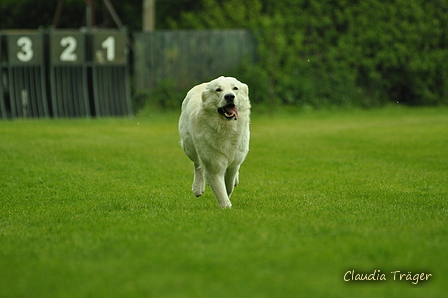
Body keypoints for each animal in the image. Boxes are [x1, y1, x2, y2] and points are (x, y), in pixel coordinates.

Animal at [179, 75, 250, 208]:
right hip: (189, 146)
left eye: (235, 88)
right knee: (197, 165)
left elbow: (228, 185)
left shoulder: (232, 163)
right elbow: (220, 189)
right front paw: (226, 207)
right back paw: (198, 187)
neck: (225, 127)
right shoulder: (213, 165)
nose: (229, 96)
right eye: (218, 90)